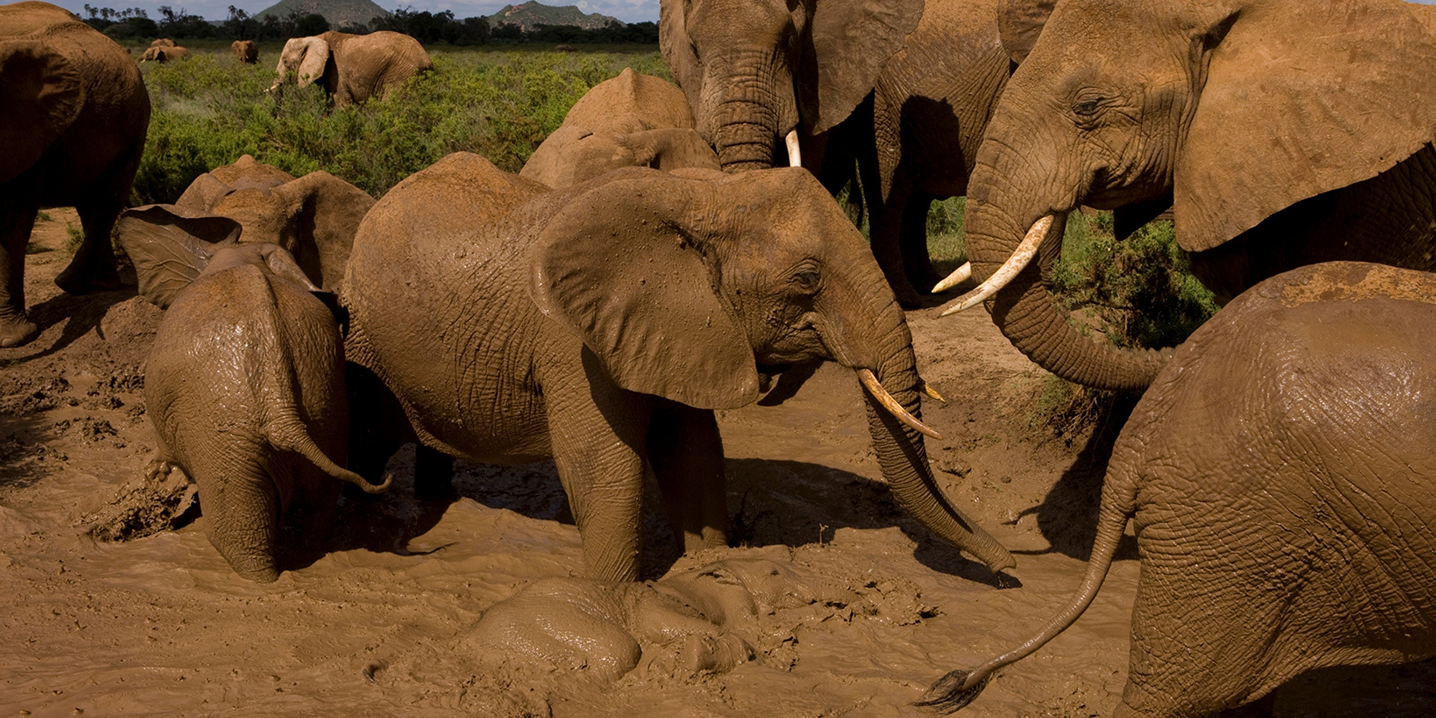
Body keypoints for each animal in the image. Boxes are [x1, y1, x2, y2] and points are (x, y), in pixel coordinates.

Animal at [0, 1, 150, 347]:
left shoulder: (30, 128)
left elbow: (12, 222)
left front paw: (14, 340)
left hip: (135, 126)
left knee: (107, 199)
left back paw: (71, 284)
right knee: (90, 203)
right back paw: (97, 285)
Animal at [117, 212, 391, 583]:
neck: (243, 252)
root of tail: (282, 411)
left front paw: (156, 474)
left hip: (226, 441)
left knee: (236, 539)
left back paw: (261, 580)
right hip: (325, 411)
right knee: (318, 510)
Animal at [270, 30, 432, 106]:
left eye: (285, 62)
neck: (313, 37)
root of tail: (426, 58)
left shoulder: (336, 72)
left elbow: (342, 103)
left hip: (402, 74)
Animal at [341, 152, 1014, 583]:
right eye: (807, 278)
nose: (1011, 562)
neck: (703, 196)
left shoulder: (678, 331)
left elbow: (694, 451)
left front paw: (709, 564)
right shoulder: (573, 342)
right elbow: (601, 462)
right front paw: (617, 599)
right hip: (362, 338)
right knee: (365, 440)